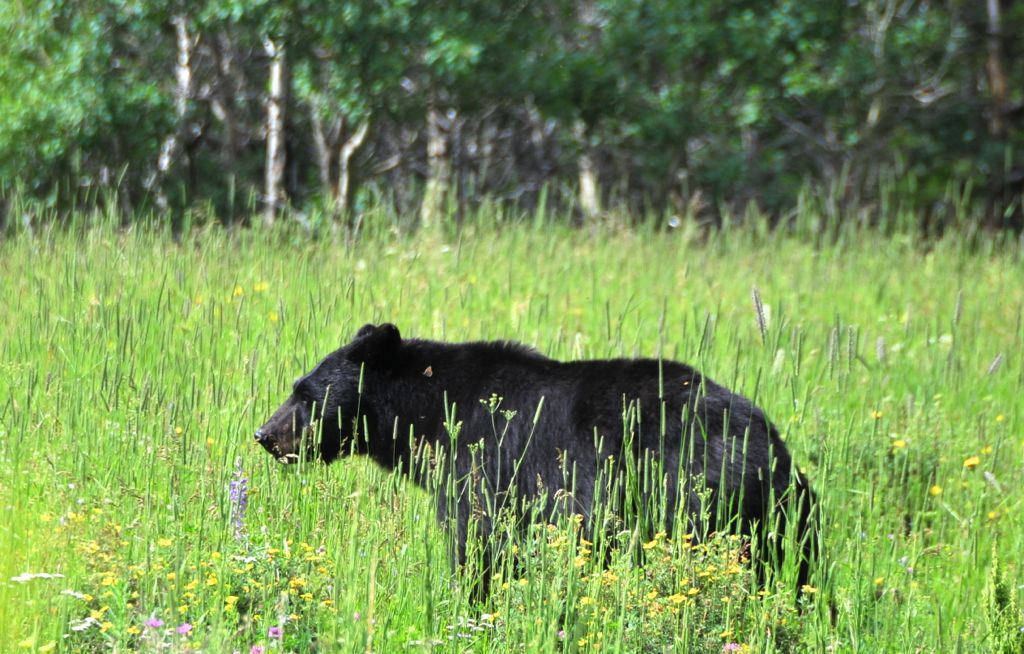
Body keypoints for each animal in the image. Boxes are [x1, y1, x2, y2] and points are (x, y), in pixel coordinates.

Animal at [255, 323, 820, 595]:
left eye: (303, 393)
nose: (264, 434)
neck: (430, 412)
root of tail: (773, 445)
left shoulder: (482, 464)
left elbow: (477, 543)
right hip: (782, 522)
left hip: (693, 496)